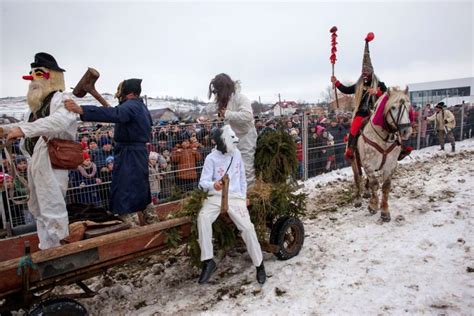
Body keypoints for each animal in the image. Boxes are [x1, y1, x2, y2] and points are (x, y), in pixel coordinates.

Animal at [352, 87, 412, 222]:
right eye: (393, 107)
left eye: (408, 106)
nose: (406, 131)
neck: (383, 137)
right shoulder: (368, 164)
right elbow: (374, 184)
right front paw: (373, 206)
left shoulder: (390, 165)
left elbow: (385, 186)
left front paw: (384, 211)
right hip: (354, 162)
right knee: (358, 178)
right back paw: (358, 198)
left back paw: (366, 193)